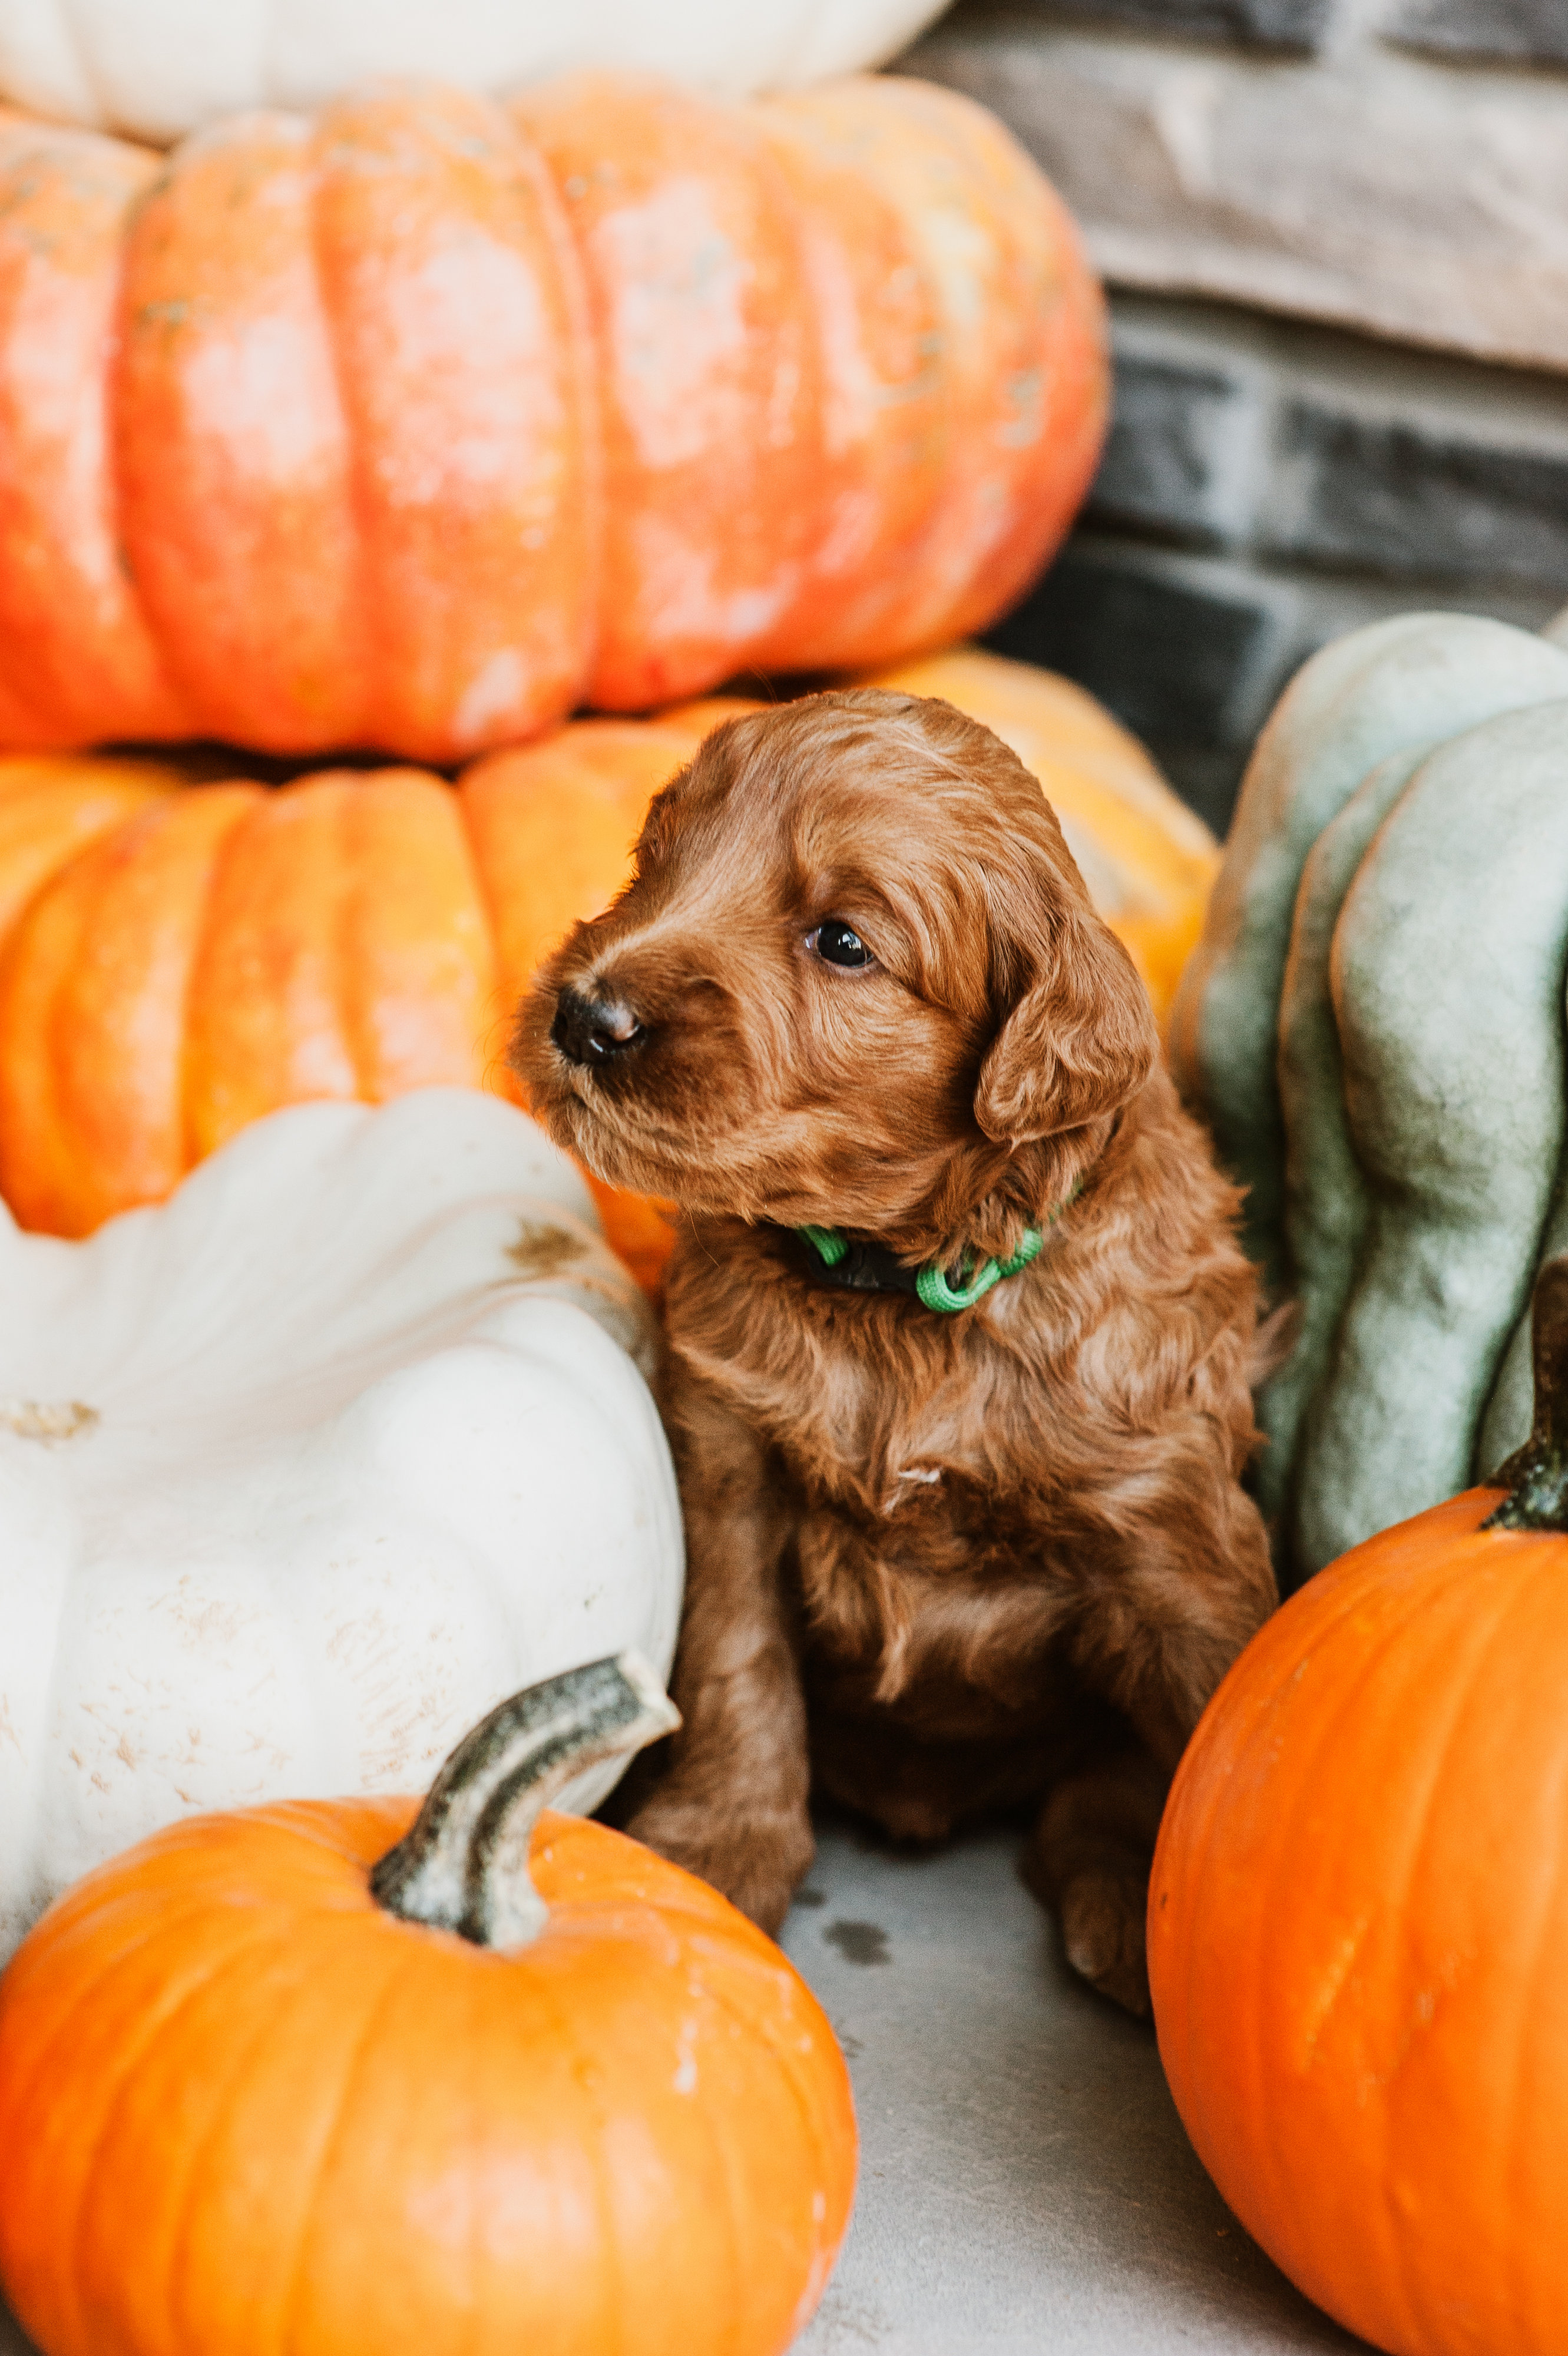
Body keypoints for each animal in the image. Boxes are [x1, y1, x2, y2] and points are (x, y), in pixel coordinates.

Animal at [513, 688, 1271, 2017]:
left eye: (842, 941)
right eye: (653, 862)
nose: (583, 1014)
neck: (900, 1295)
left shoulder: (1172, 1534)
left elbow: (1200, 1722)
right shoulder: (728, 1463)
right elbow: (737, 1667)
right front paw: (718, 1850)